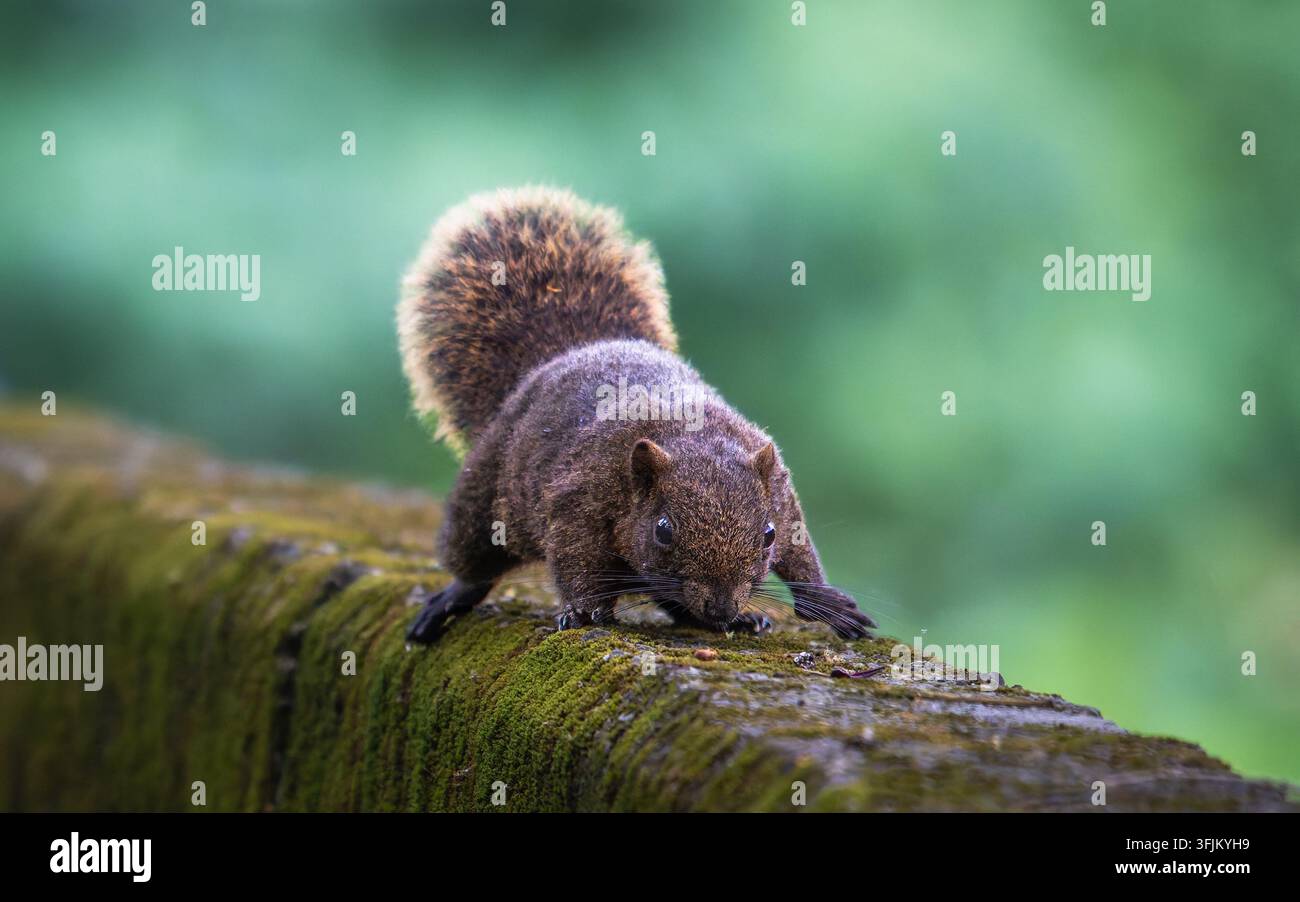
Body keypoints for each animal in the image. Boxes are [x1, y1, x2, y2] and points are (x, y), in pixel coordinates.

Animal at [398, 186, 875, 642]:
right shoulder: (580, 497)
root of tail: (569, 352)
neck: (690, 435)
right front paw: (585, 611)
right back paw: (453, 597)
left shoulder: (779, 491)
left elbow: (800, 549)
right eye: (663, 530)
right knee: (475, 557)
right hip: (484, 494)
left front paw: (826, 604)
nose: (721, 607)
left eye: (768, 534)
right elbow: (576, 558)